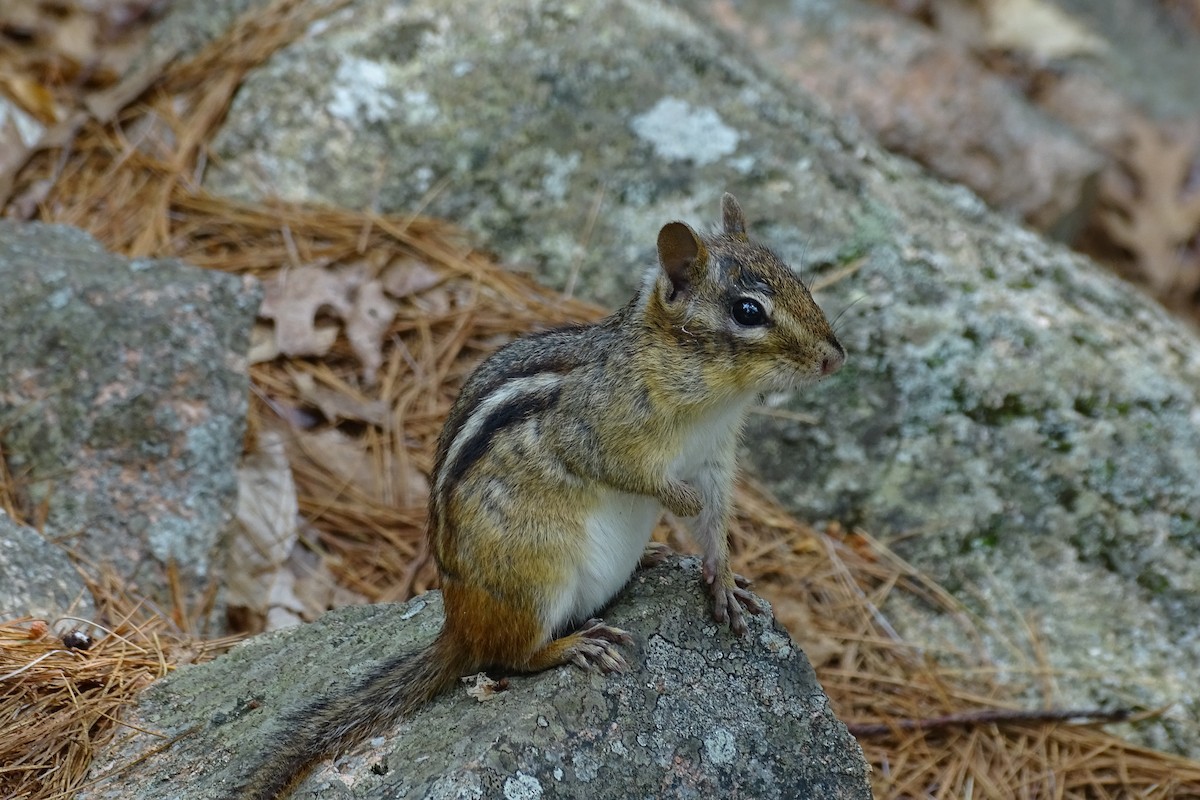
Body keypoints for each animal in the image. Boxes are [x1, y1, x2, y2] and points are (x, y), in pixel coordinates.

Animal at [231, 193, 845, 799]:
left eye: (797, 278)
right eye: (748, 311)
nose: (835, 358)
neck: (710, 395)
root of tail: (458, 627)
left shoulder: (715, 457)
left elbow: (716, 520)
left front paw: (723, 580)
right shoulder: (598, 432)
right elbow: (630, 474)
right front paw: (682, 505)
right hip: (537, 575)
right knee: (512, 657)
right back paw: (573, 646)